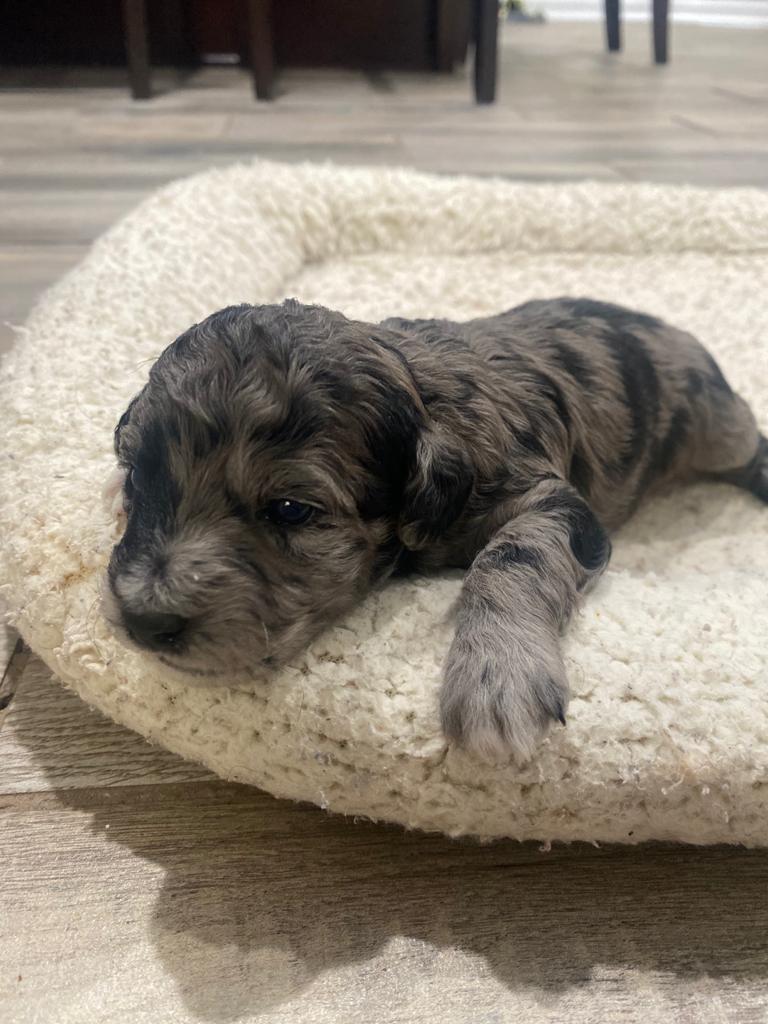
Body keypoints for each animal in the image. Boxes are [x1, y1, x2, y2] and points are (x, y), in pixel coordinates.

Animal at [103, 296, 768, 761]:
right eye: (137, 475)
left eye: (291, 510)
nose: (145, 620)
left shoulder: (552, 499)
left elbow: (513, 555)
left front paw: (497, 675)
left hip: (717, 424)